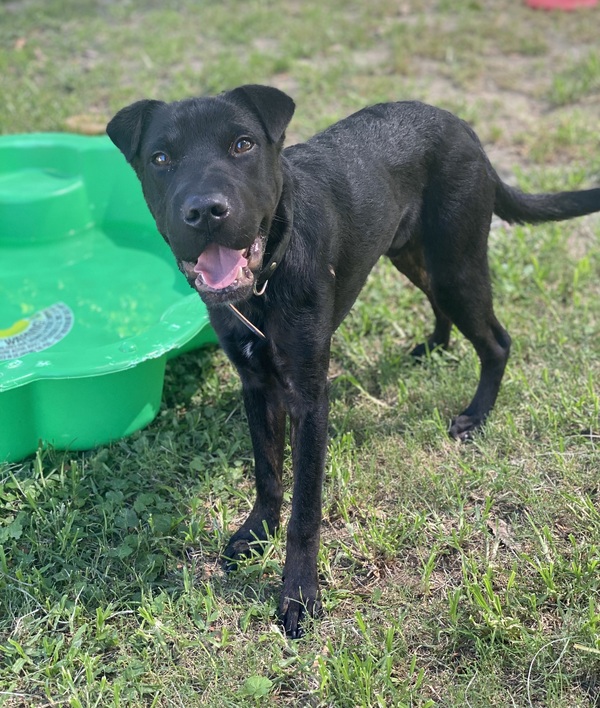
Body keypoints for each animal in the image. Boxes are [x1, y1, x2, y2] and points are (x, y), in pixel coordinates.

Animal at [107, 85, 600, 637]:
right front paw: (256, 533)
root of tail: (463, 127)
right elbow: (267, 472)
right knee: (439, 304)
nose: (206, 211)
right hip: (411, 253)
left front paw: (298, 595)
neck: (265, 281)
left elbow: (305, 509)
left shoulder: (309, 397)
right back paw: (433, 346)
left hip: (457, 262)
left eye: (242, 145)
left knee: (497, 340)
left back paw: (476, 415)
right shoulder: (255, 384)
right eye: (160, 158)